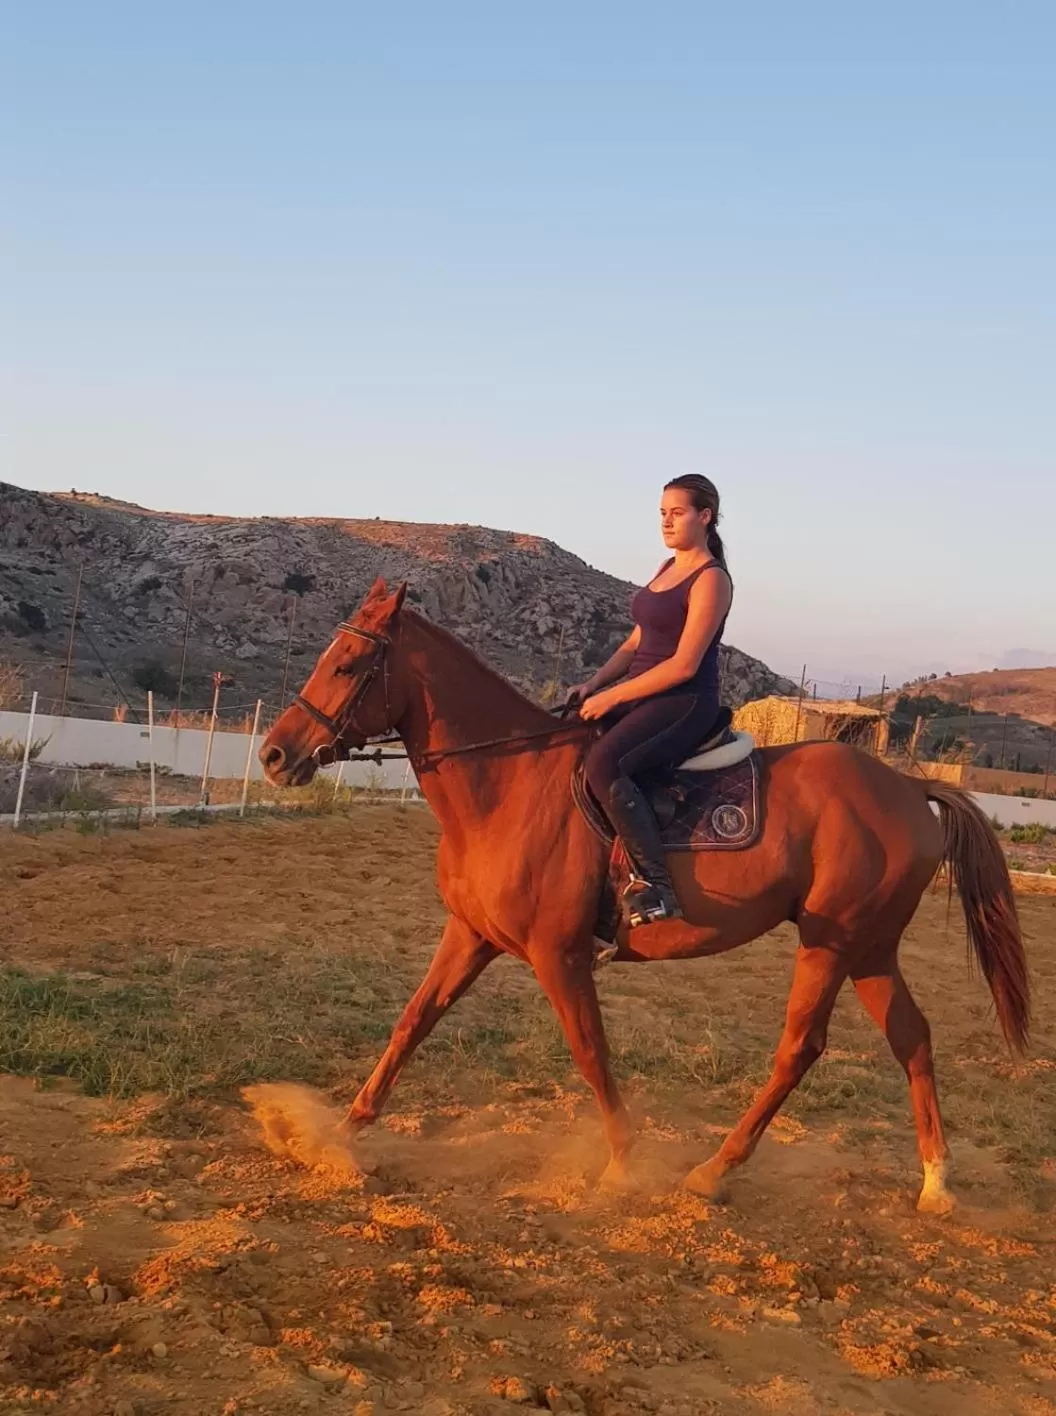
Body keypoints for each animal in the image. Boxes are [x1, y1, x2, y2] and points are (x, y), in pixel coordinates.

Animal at [259, 578, 1030, 1215]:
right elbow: (411, 1024)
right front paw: (339, 1135)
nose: (273, 754)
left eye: (348, 665)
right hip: (869, 949)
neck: (509, 782)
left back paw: (714, 1171)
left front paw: (624, 1165)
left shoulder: (559, 956)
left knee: (801, 1048)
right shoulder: (470, 936)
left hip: (831, 943)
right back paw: (935, 1183)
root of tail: (908, 787)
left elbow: (591, 1053)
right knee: (912, 1037)